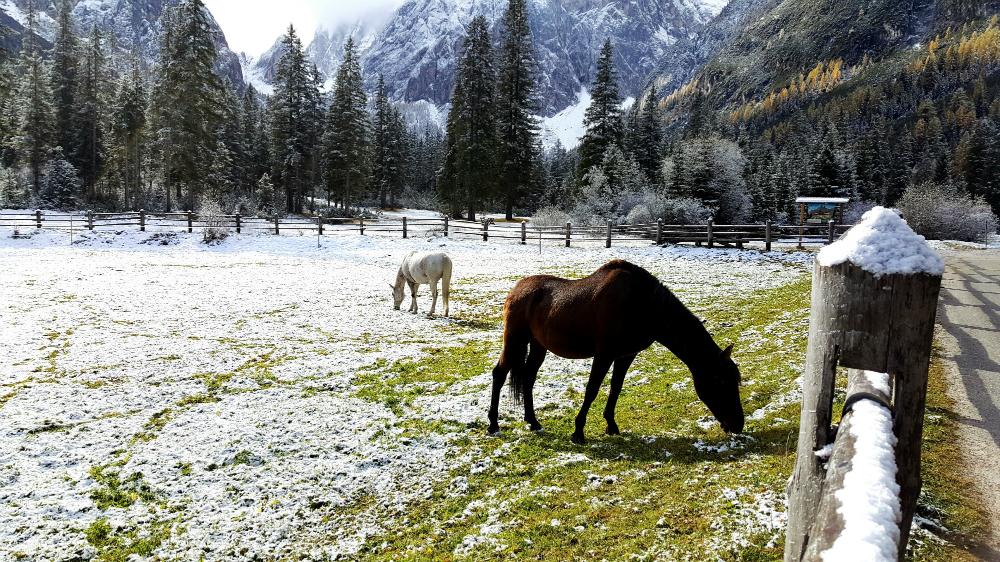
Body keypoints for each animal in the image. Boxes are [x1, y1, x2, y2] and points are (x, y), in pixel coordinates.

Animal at [488, 260, 744, 444]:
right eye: (721, 381)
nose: (738, 424)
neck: (643, 305)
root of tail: (516, 290)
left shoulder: (625, 356)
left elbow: (615, 388)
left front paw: (611, 425)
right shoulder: (604, 355)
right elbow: (592, 390)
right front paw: (578, 432)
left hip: (538, 346)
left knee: (528, 378)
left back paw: (533, 422)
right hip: (515, 341)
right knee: (499, 374)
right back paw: (493, 425)